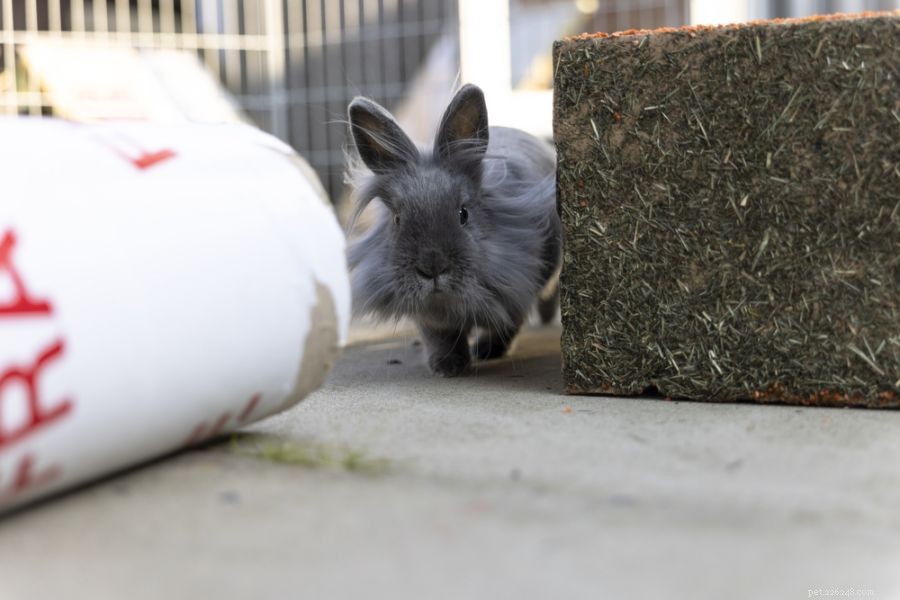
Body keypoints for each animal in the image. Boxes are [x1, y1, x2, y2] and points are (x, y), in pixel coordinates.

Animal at [345, 83, 561, 377]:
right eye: (397, 219)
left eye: (463, 214)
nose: (432, 268)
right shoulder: (431, 317)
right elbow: (440, 337)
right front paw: (447, 366)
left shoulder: (517, 286)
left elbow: (507, 324)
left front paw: (486, 351)